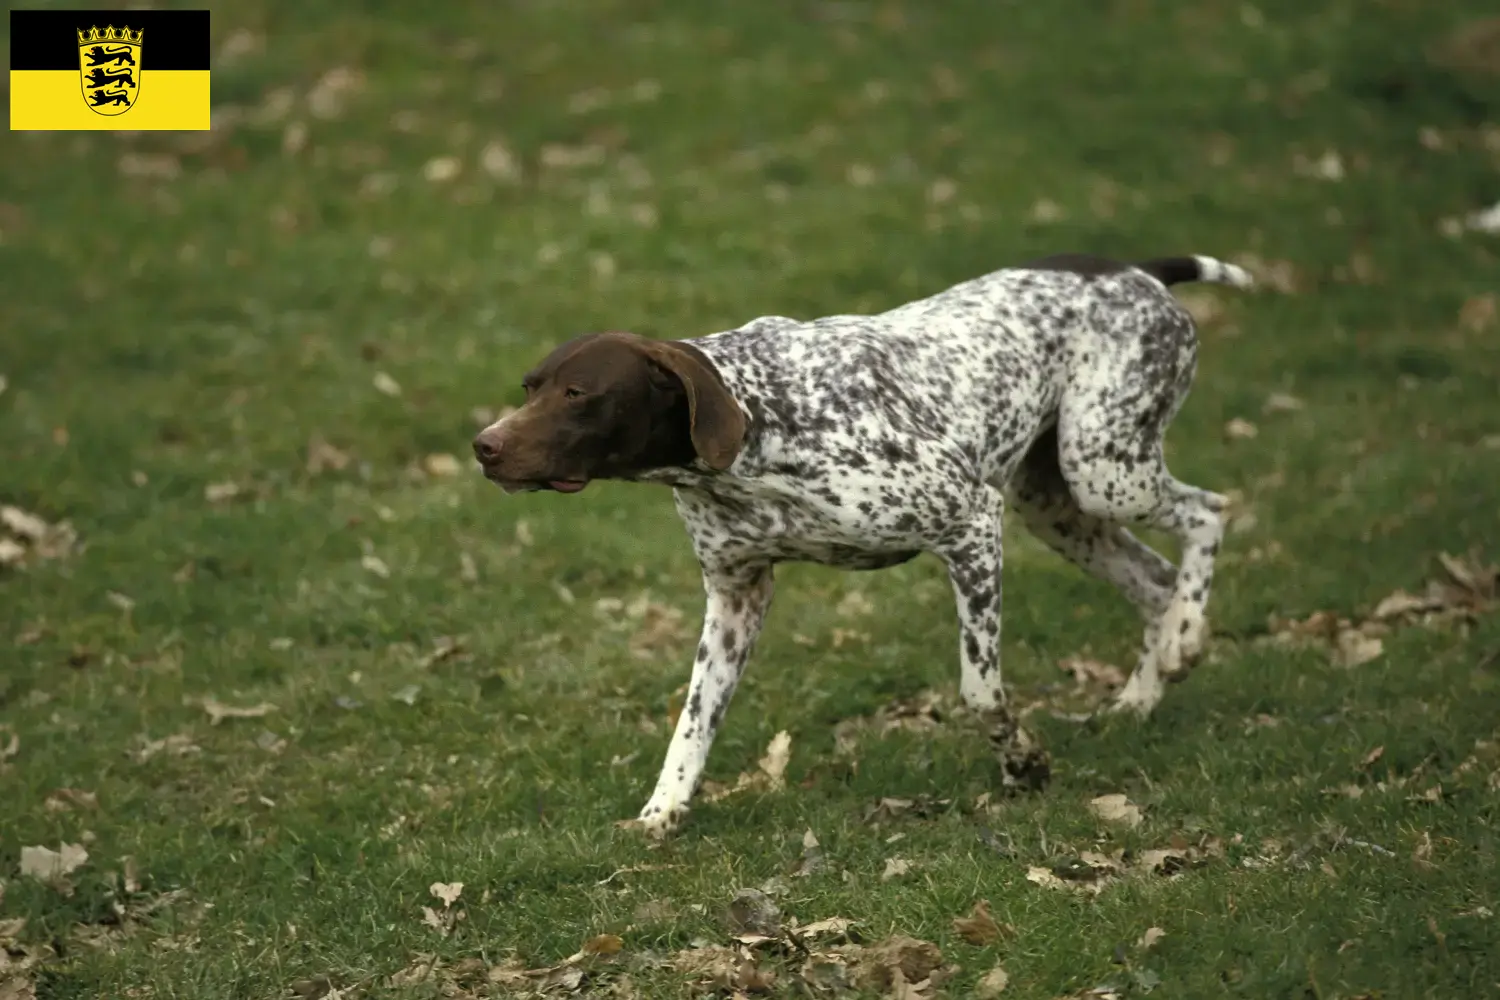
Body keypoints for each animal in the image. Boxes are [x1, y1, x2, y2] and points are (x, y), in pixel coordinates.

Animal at [474, 251, 1248, 839]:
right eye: (530, 386)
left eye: (578, 393)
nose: (484, 446)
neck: (758, 421)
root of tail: (1138, 269)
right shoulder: (735, 595)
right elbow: (692, 723)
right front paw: (662, 813)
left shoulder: (971, 526)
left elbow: (980, 692)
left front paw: (1023, 765)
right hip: (1060, 507)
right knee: (1156, 582)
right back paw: (1143, 693)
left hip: (1103, 469)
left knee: (1209, 514)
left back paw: (1184, 640)